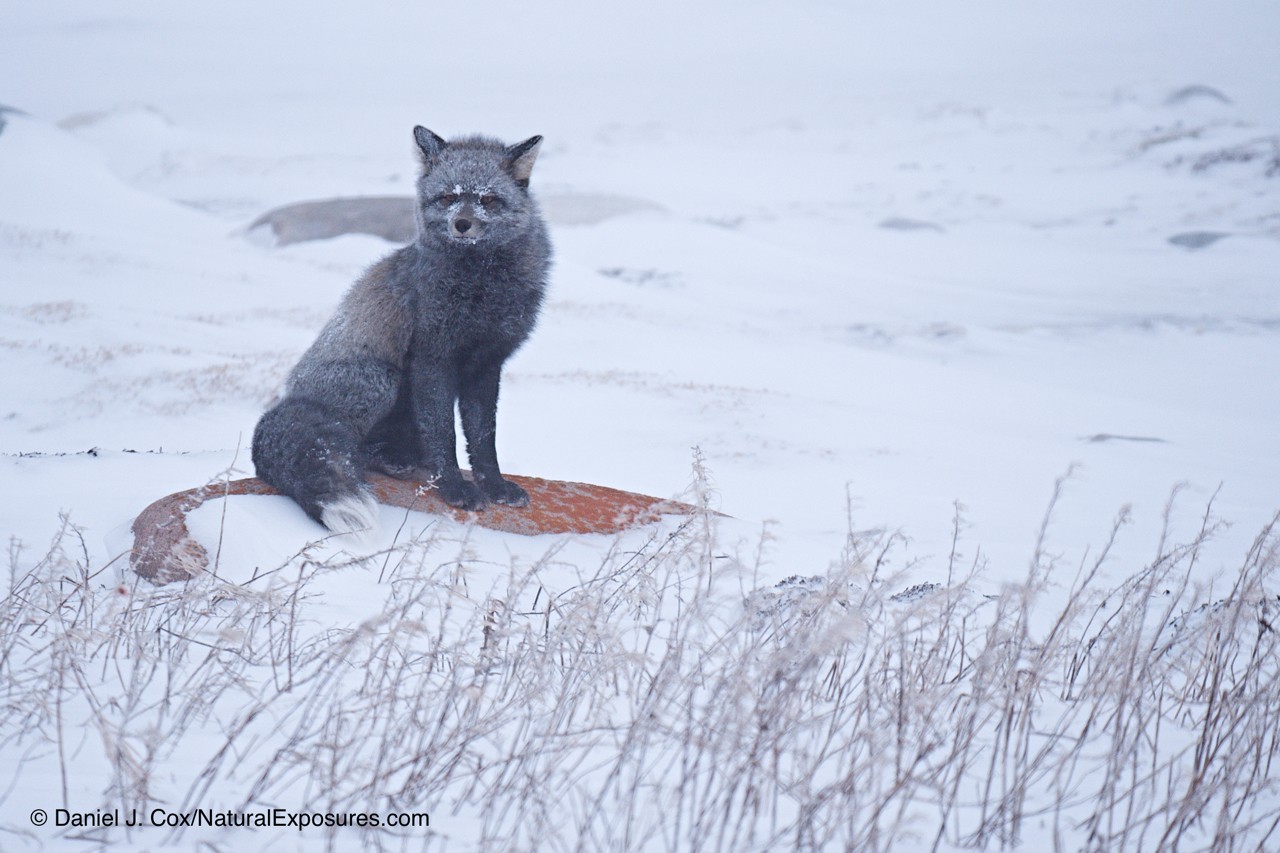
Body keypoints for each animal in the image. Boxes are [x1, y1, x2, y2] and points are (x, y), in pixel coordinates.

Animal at [251, 126, 551, 534]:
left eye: (488, 199)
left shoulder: (487, 364)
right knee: (352, 447)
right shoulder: (432, 360)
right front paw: (454, 488)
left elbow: (483, 439)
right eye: (448, 197)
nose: (462, 224)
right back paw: (389, 459)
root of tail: (288, 401)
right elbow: (444, 435)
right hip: (382, 379)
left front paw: (495, 485)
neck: (480, 290)